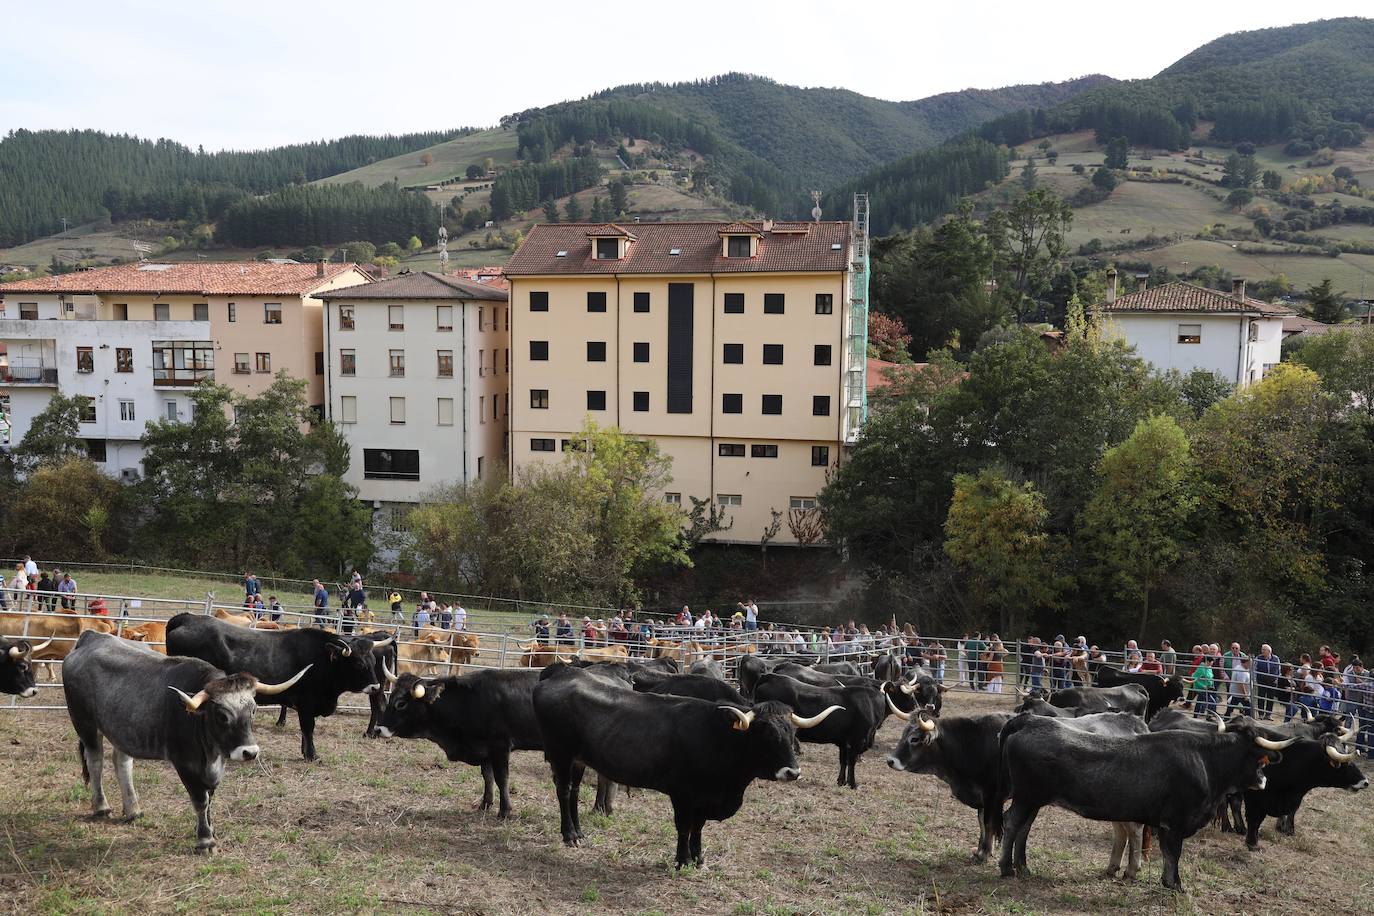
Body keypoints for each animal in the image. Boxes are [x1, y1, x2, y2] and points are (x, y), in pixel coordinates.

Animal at [62, 631, 309, 851]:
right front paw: (205, 840)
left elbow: (210, 798)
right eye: (222, 716)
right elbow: (200, 800)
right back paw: (101, 806)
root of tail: (91, 637)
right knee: (95, 760)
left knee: (122, 761)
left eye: (254, 710)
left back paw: (133, 809)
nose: (250, 752)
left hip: (122, 728)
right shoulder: (185, 764)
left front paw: (210, 829)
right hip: (85, 723)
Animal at [168, 615, 392, 758]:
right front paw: (311, 755)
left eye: (373, 661)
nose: (375, 687)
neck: (321, 660)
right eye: (359, 664)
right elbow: (308, 728)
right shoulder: (306, 704)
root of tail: (187, 618)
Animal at [533, 667, 835, 867]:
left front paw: (698, 857)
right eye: (768, 735)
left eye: (792, 734)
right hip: (560, 753)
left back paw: (579, 832)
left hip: (578, 759)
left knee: (573, 792)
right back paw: (569, 834)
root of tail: (560, 674)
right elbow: (683, 825)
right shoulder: (682, 793)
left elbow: (698, 827)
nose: (792, 772)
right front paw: (682, 859)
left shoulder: (704, 798)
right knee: (564, 791)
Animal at [884, 708, 1016, 862]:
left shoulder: (991, 795)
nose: (890, 761)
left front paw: (984, 853)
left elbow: (988, 822)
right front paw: (980, 850)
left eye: (914, 739)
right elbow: (981, 822)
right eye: (903, 734)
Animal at [994, 714, 1291, 889]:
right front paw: (1174, 884)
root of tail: (1029, 720)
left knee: (1024, 828)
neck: (1205, 761)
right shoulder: (1175, 821)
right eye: (1258, 758)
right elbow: (1173, 853)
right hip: (1026, 797)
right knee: (1013, 823)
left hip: (1033, 799)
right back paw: (1007, 868)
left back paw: (1023, 866)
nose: (1264, 780)